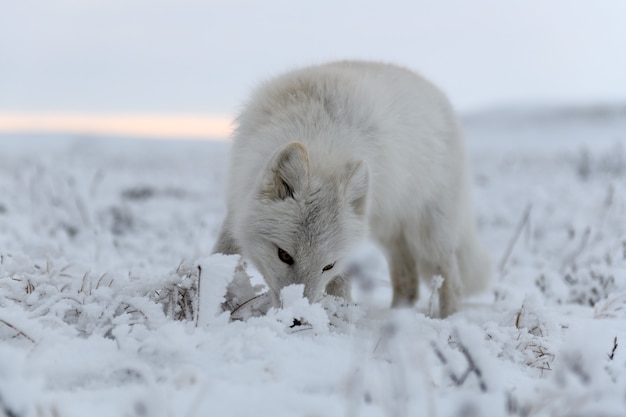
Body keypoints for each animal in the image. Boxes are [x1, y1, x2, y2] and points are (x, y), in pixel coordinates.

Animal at [212, 61, 490, 316]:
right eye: (284, 255)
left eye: (328, 266)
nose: (297, 317)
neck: (319, 136)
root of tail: (441, 98)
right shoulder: (237, 200)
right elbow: (223, 252)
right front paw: (216, 296)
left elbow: (341, 283)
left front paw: (341, 314)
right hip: (389, 232)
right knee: (408, 282)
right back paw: (398, 317)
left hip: (428, 235)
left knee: (451, 281)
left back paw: (447, 321)